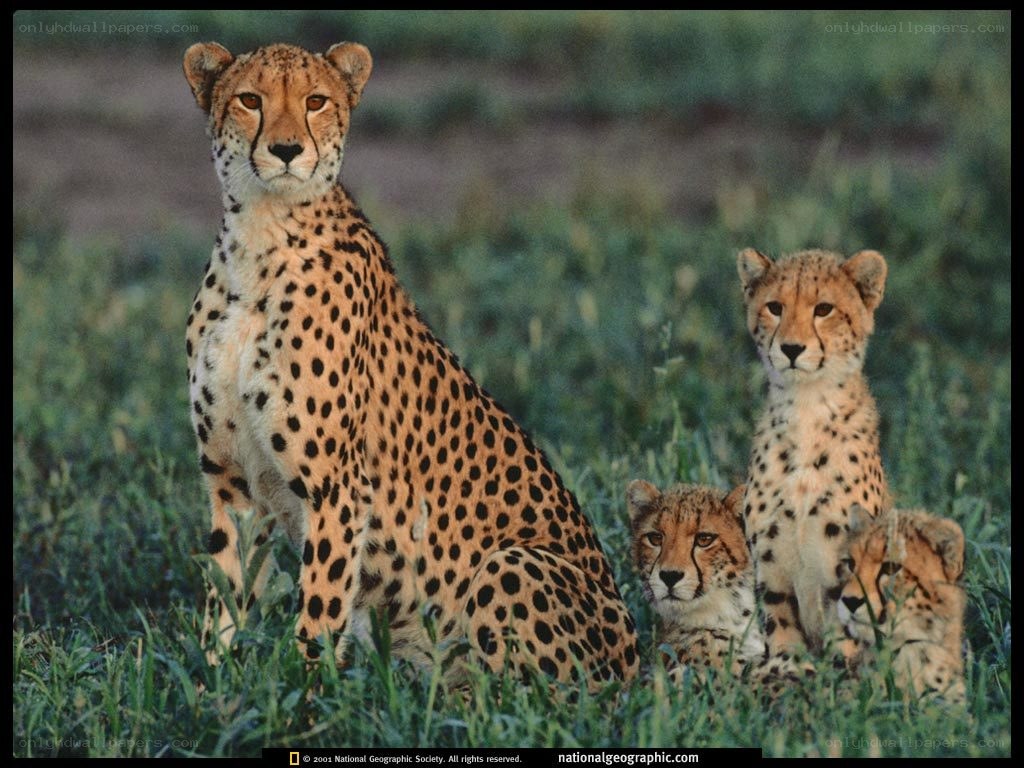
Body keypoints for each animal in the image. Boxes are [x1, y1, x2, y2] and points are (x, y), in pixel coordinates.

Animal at [181, 40, 639, 687]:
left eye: (315, 101)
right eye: (250, 99)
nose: (287, 150)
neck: (262, 236)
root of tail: (637, 664)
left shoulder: (337, 489)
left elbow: (318, 607)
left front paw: (305, 691)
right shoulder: (231, 479)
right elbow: (226, 590)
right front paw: (212, 680)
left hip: (511, 563)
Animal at [737, 247, 891, 658]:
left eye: (824, 309)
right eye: (775, 307)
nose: (791, 348)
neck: (807, 409)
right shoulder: (771, 572)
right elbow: (783, 639)